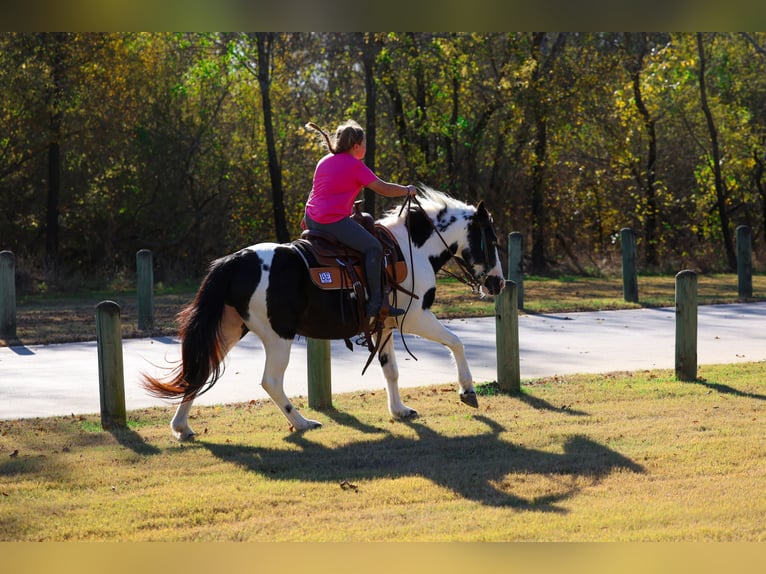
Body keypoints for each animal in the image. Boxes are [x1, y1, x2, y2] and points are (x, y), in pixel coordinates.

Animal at [142, 187, 506, 440]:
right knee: (270, 381)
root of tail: (235, 261)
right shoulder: (415, 317)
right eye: (490, 239)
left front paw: (400, 410)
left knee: (200, 369)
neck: (412, 248)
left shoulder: (386, 323)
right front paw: (467, 391)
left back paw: (181, 427)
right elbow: (456, 342)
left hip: (230, 329)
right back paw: (302, 422)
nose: (498, 283)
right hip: (277, 336)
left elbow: (391, 370)